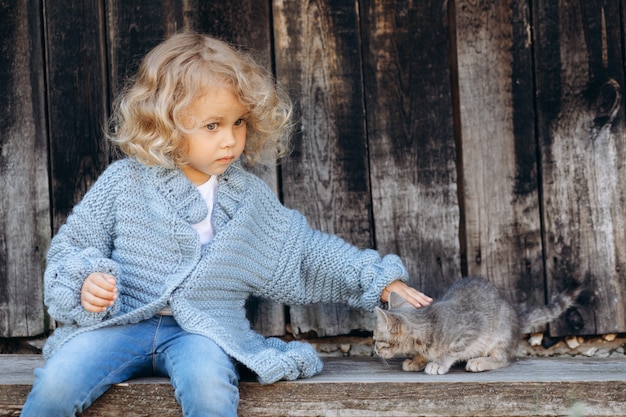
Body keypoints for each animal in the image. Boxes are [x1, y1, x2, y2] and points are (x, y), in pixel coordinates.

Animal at [370, 274, 580, 376]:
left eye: (376, 339)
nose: (375, 350)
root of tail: (516, 317)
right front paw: (417, 360)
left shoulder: (473, 327)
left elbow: (451, 351)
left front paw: (437, 363)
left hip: (500, 334)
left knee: (503, 359)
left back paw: (480, 361)